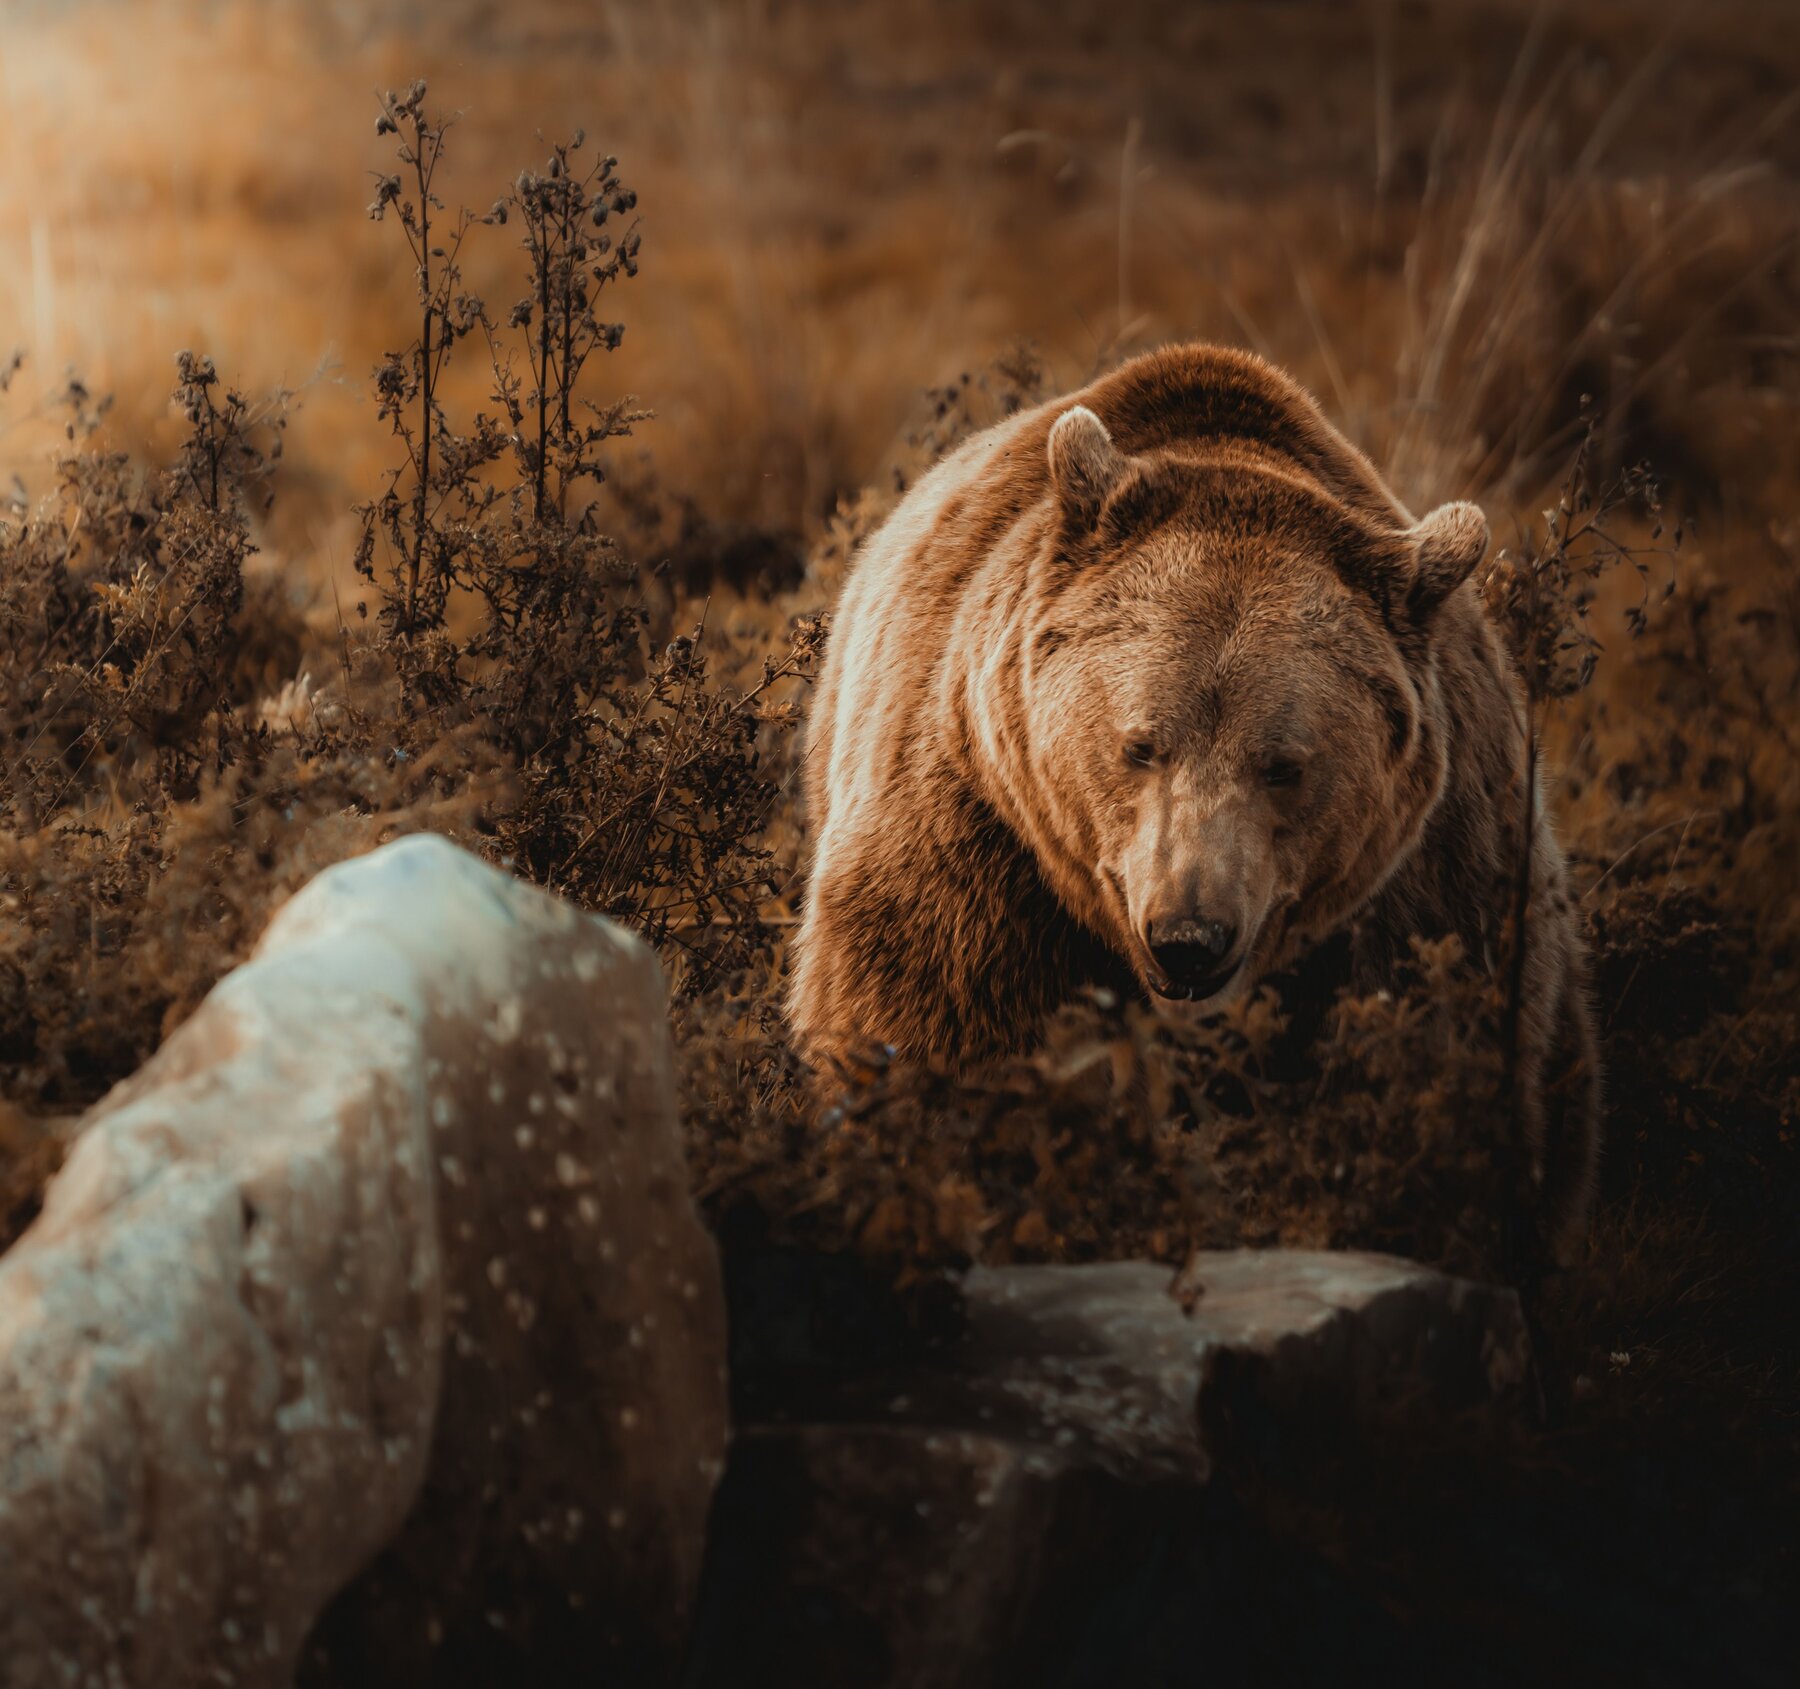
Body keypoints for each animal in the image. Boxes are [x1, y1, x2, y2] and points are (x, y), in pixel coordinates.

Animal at [788, 342, 1600, 1248]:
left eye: (1284, 764)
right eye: (1139, 744)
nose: (1188, 936)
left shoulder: (1434, 879)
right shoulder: (978, 839)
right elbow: (932, 1029)